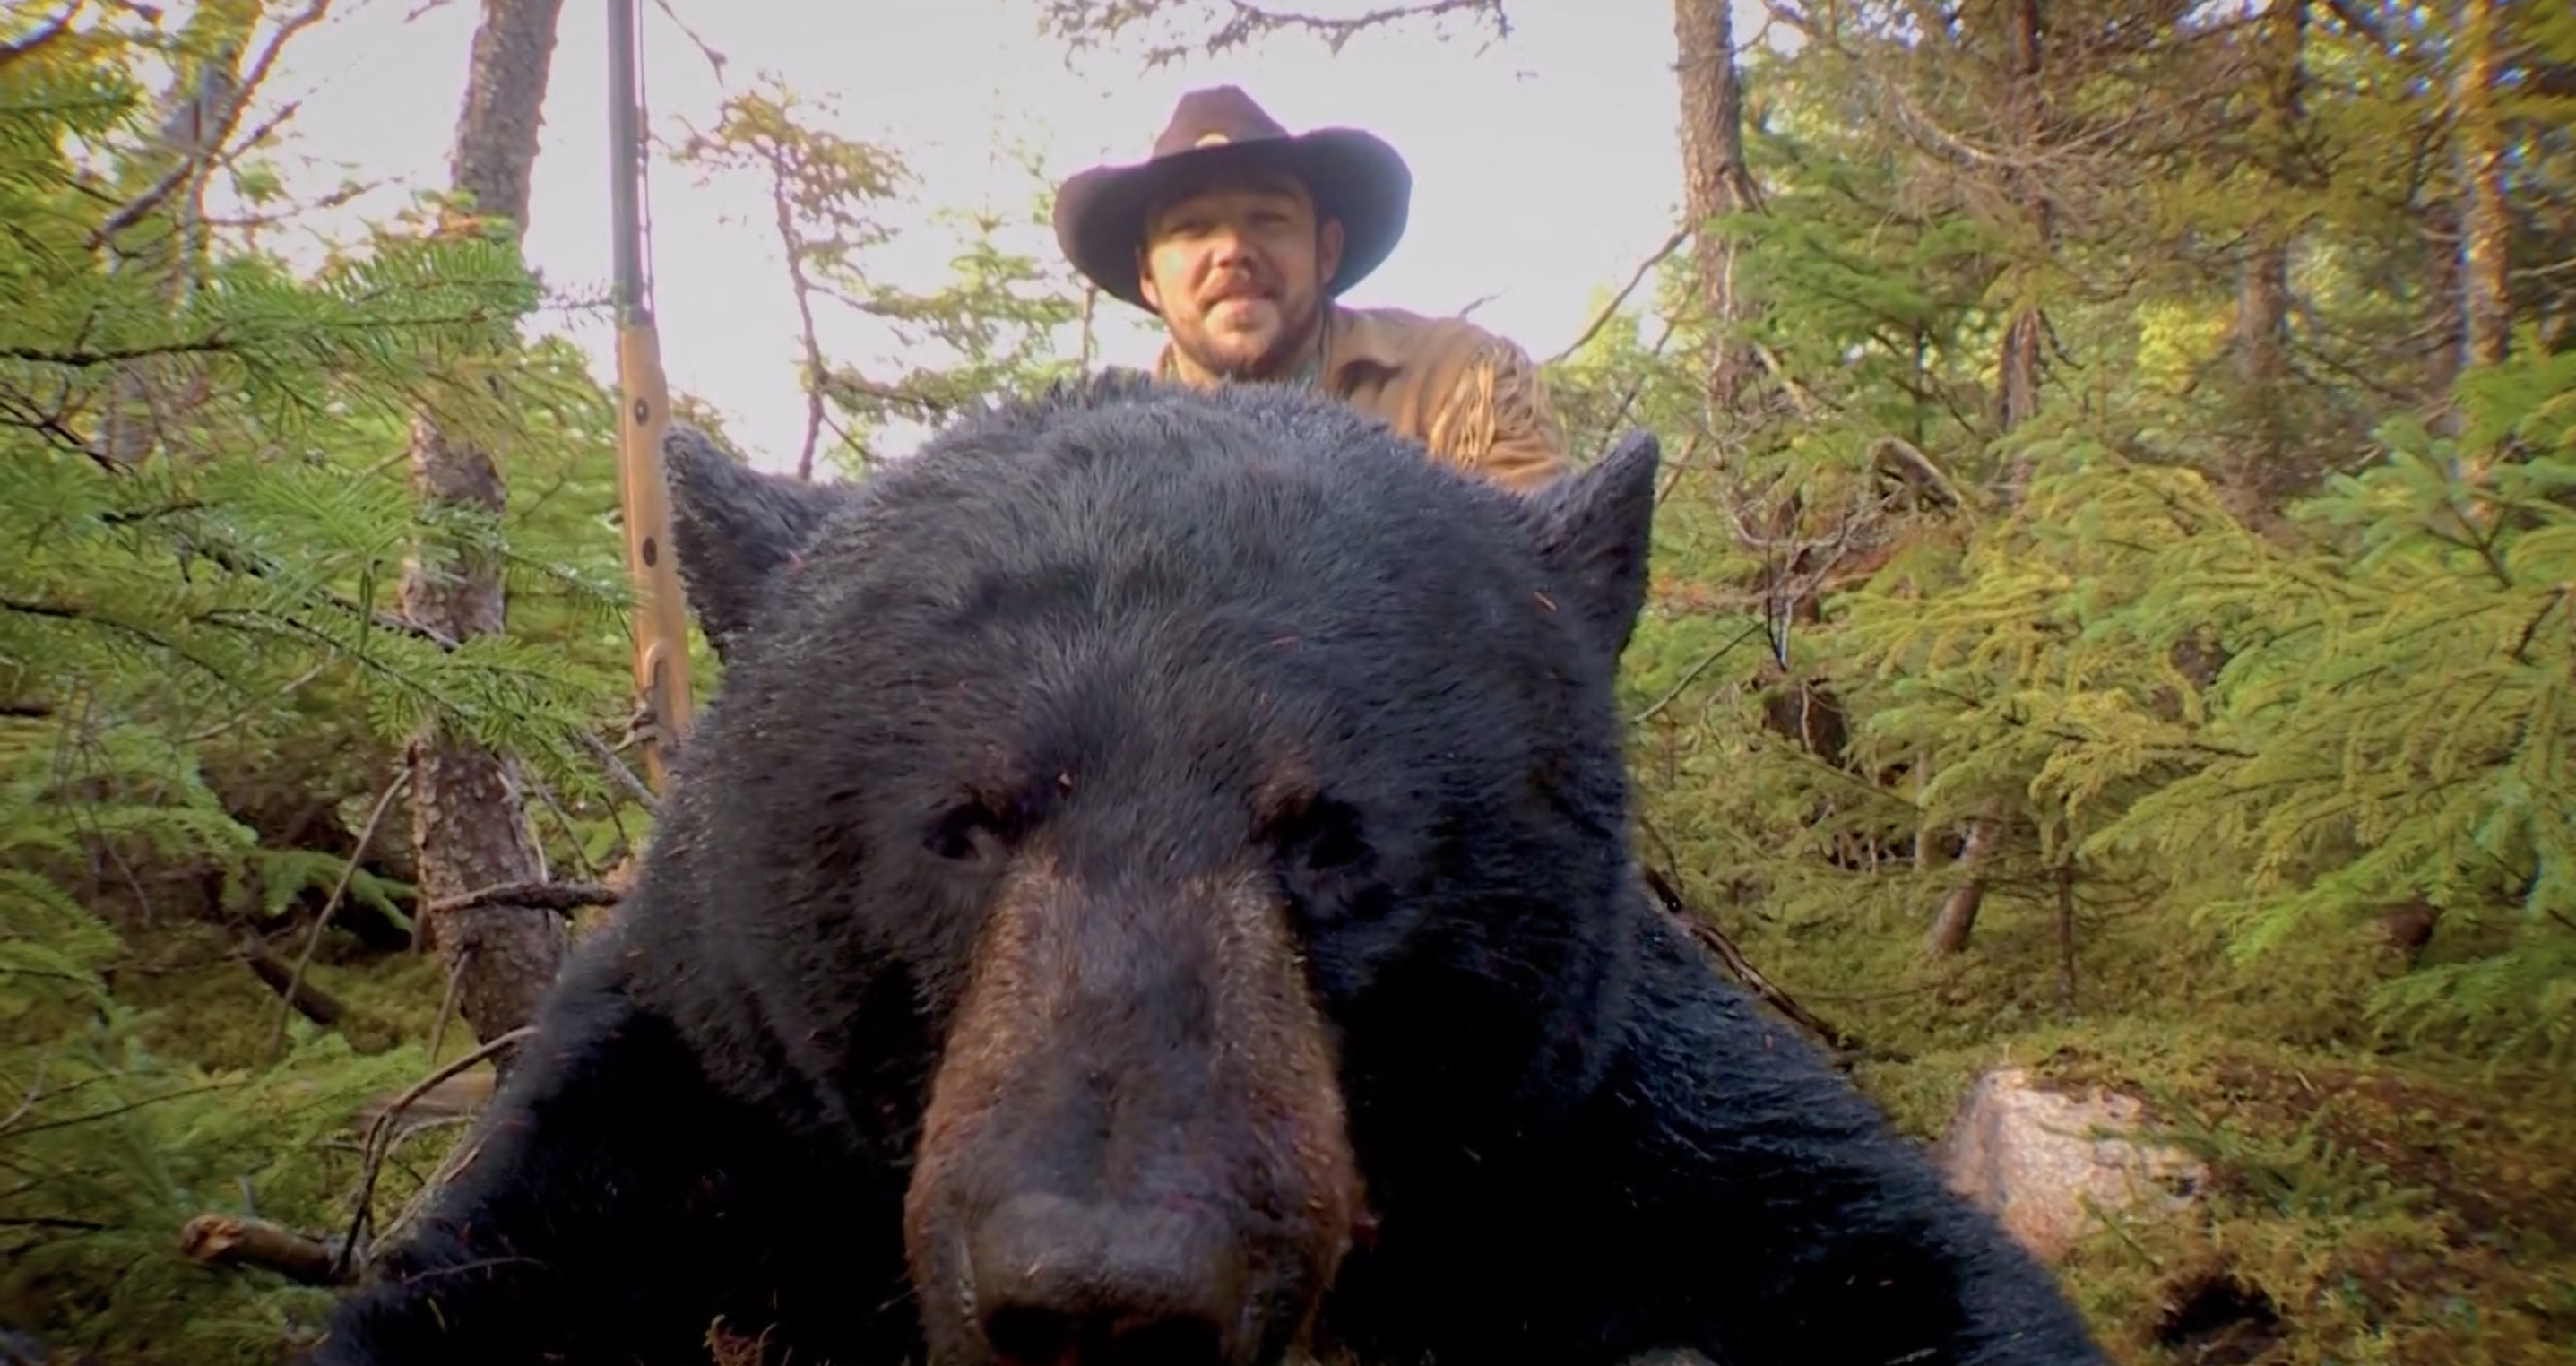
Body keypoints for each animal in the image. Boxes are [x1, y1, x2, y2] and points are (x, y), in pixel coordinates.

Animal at [299, 372, 2108, 1366]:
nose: (1104, 1295)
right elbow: (490, 1279)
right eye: (963, 822)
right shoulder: (685, 1080)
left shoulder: (1618, 1110)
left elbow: (1892, 1261)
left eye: (1332, 837)